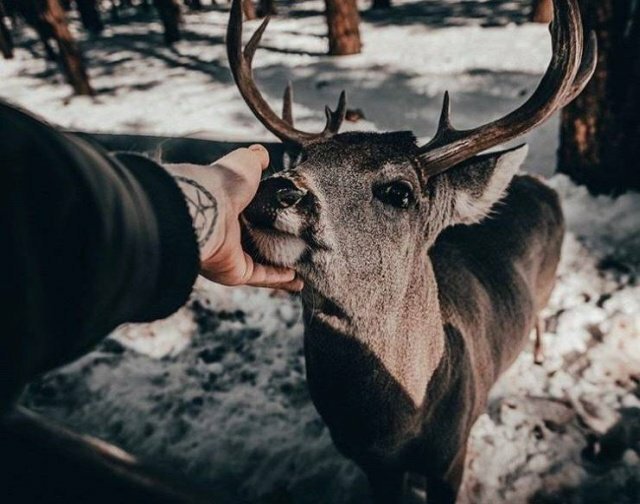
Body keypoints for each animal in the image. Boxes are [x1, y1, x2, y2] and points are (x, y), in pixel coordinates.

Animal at [225, 1, 596, 502]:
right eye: (303, 161)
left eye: (399, 191)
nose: (274, 189)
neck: (392, 430)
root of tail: (538, 184)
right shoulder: (372, 466)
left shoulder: (451, 458)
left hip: (549, 280)